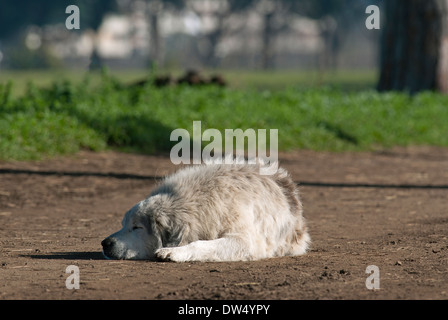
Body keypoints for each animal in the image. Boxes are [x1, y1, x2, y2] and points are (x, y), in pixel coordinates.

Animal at [102, 159, 310, 262]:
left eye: (137, 227)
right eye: (123, 225)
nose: (105, 243)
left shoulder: (245, 240)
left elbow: (201, 244)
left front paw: (174, 252)